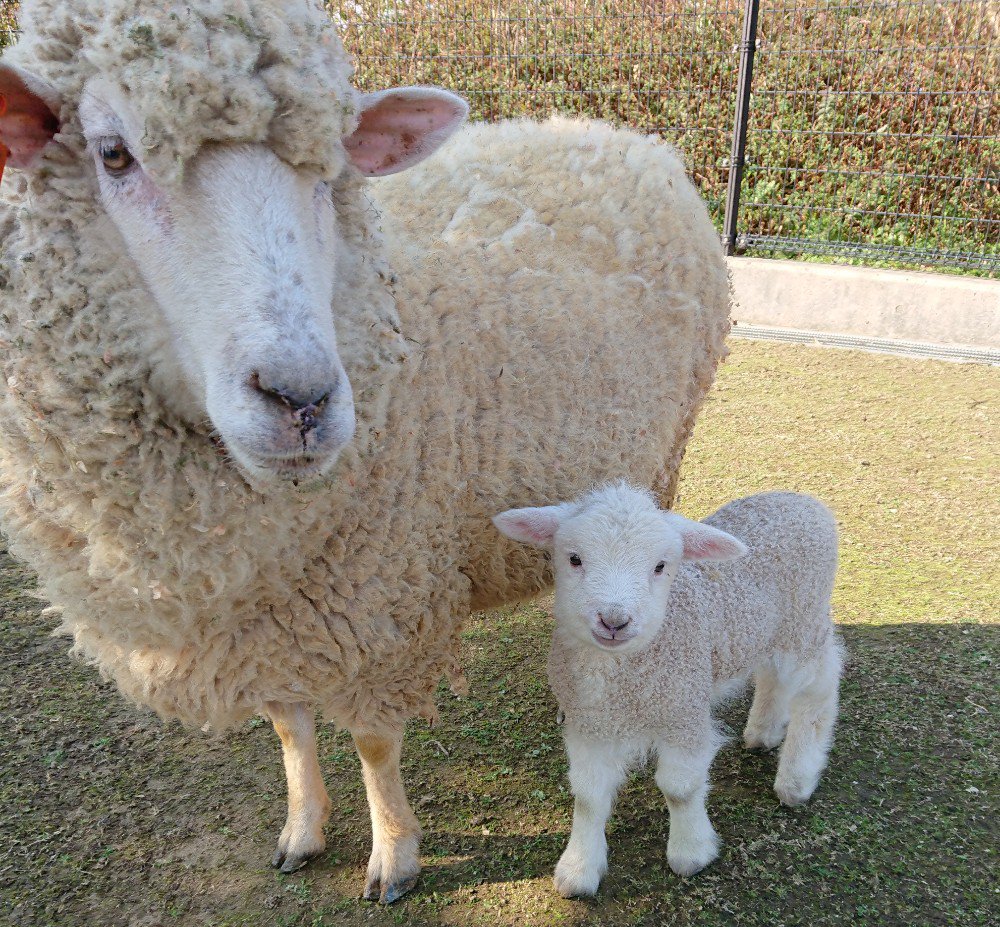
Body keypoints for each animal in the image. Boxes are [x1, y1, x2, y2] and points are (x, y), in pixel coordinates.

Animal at [1, 0, 728, 904]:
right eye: (112, 153)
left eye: (333, 164)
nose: (302, 398)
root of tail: (619, 134)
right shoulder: (273, 613)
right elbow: (287, 723)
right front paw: (303, 827)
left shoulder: (380, 595)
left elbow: (375, 743)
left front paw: (393, 854)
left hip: (666, 452)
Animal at [494, 486, 844, 900]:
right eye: (574, 558)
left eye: (661, 566)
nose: (614, 621)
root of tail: (800, 498)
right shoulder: (587, 723)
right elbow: (588, 796)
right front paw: (579, 868)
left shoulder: (683, 711)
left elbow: (679, 789)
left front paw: (690, 852)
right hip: (761, 630)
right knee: (772, 676)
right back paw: (763, 732)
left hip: (803, 622)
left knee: (819, 687)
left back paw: (797, 778)